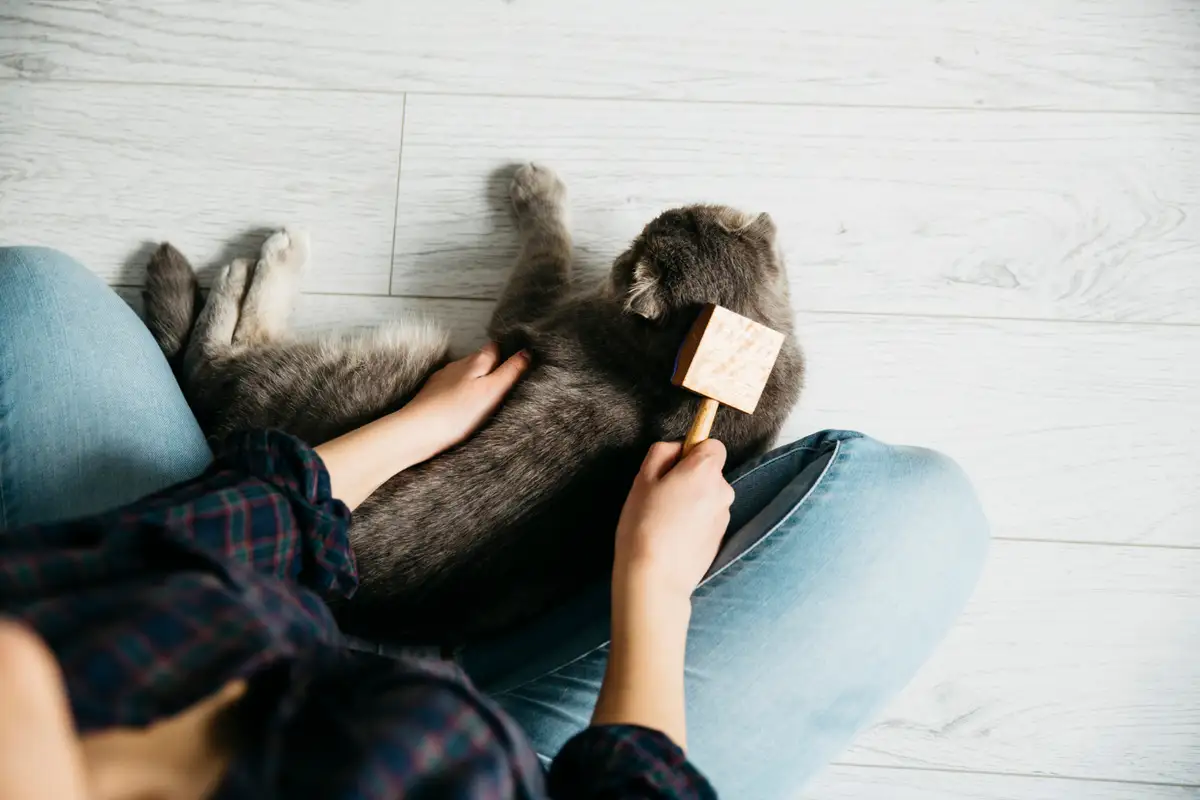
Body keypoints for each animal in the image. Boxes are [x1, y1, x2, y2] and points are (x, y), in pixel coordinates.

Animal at [143, 164, 804, 644]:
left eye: (644, 240)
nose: (628, 244)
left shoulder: (524, 312)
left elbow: (548, 243)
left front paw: (537, 189)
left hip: (373, 358)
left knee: (215, 356)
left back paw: (258, 260)